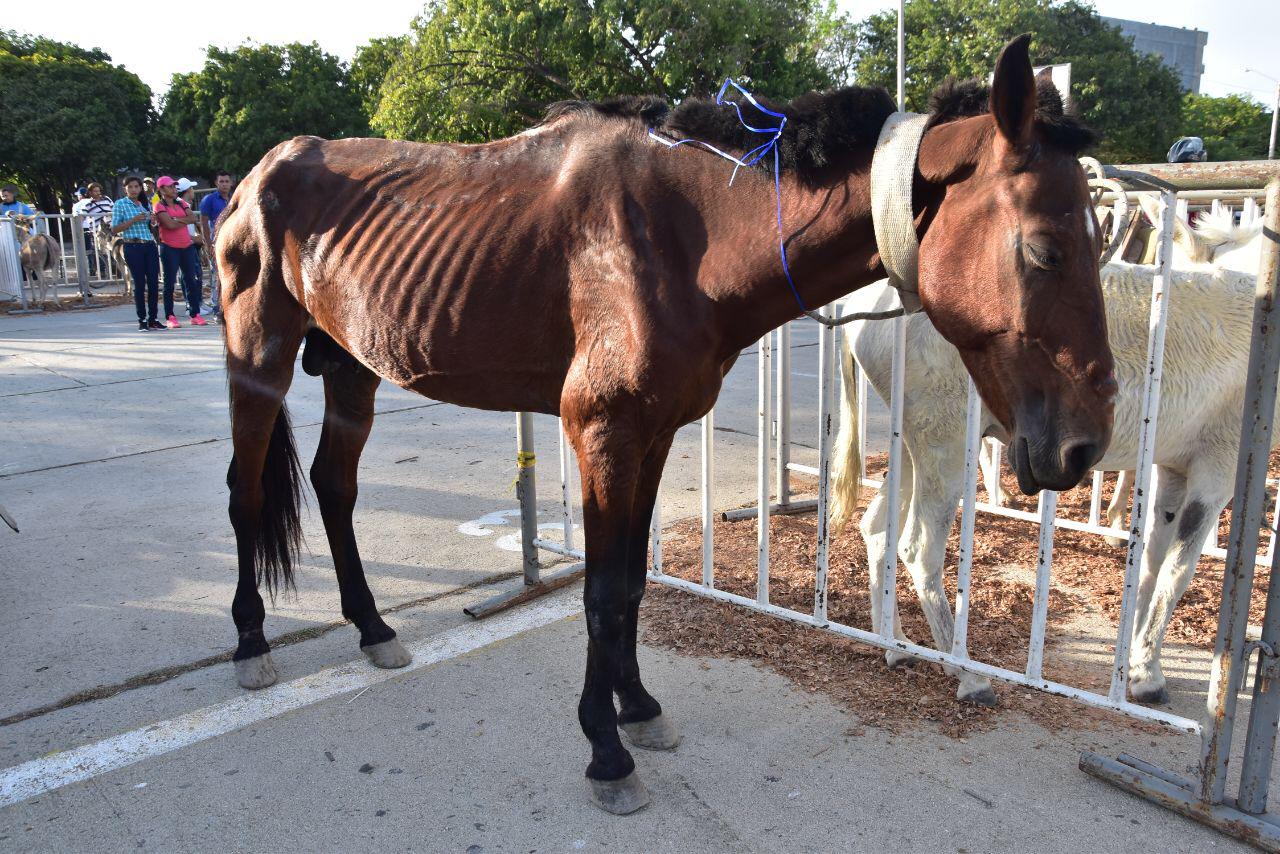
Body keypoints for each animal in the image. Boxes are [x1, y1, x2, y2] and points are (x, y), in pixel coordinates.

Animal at [217, 38, 1111, 814]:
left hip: (353, 367)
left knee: (334, 486)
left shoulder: (652, 434)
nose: (1083, 444)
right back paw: (252, 644)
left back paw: (372, 627)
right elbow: (602, 589)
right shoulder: (604, 433)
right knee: (244, 490)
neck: (687, 237)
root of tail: (257, 174)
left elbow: (632, 583)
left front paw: (638, 706)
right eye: (1044, 248)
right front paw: (606, 750)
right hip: (257, 356)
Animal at [834, 204, 1264, 701]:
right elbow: (1178, 571)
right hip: (946, 442)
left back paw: (895, 646)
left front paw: (1135, 663)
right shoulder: (1219, 464)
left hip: (911, 441)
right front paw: (1149, 677)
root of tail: (872, 301)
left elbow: (1152, 564)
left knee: (876, 529)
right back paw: (968, 675)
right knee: (918, 549)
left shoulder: (1172, 465)